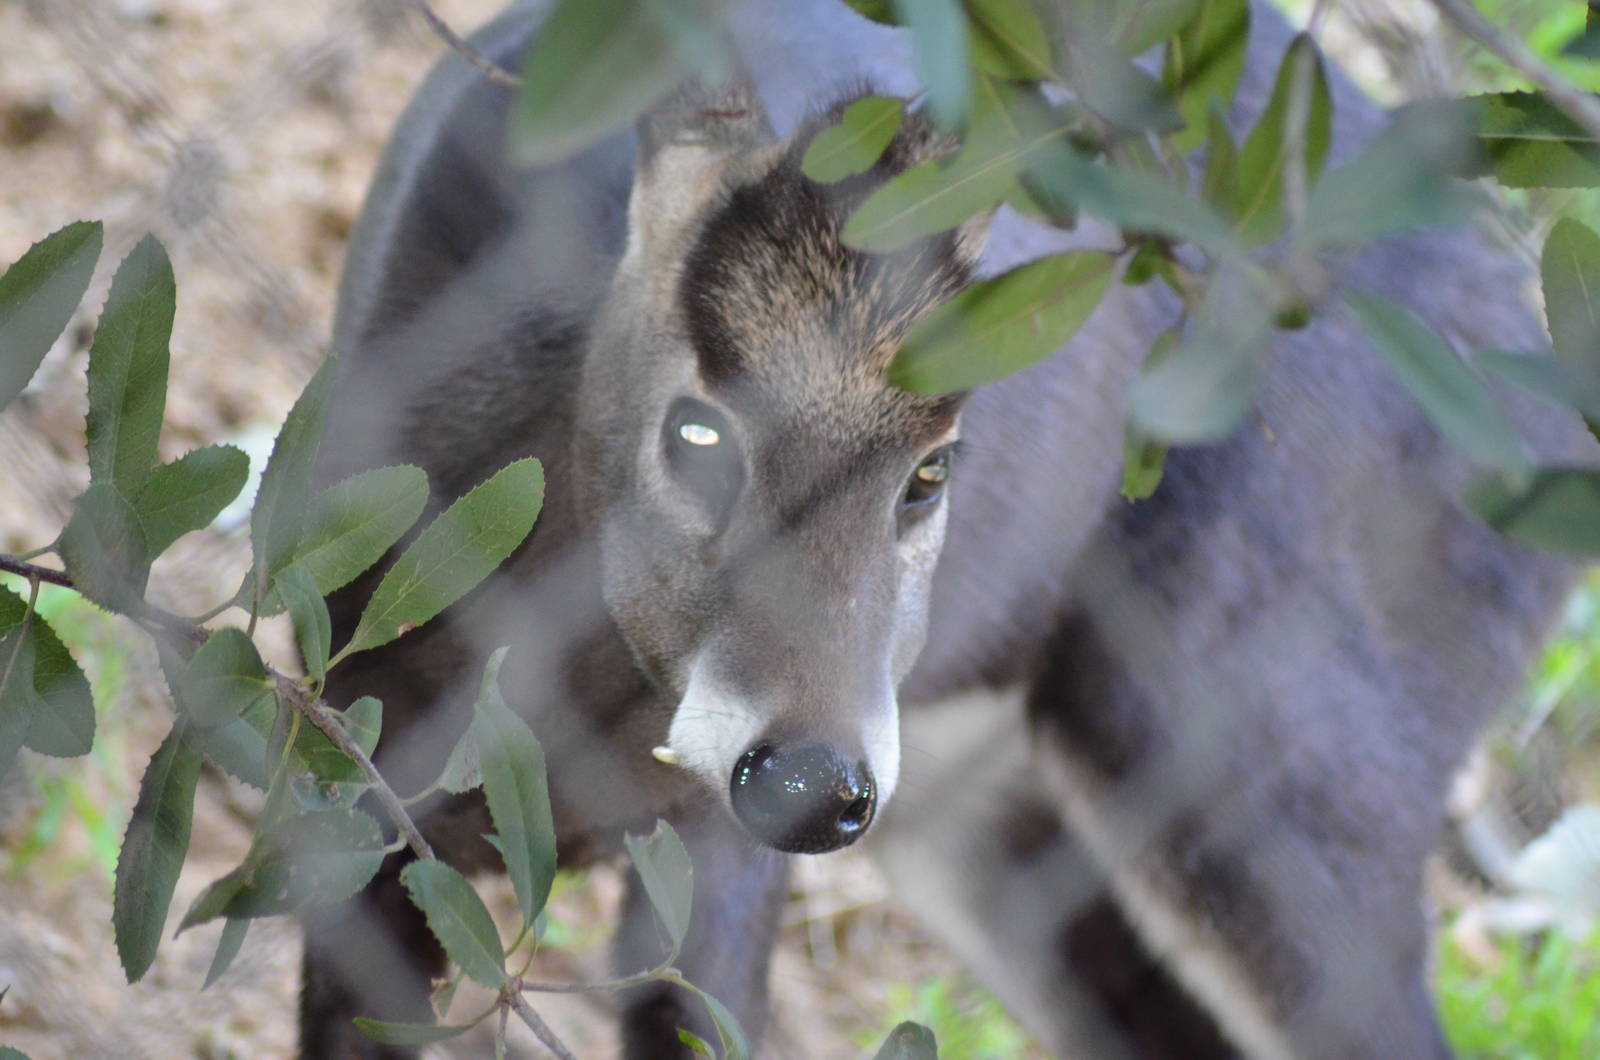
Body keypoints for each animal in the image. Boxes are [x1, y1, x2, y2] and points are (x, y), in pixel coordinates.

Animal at [302, 2, 1590, 1057]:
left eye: (930, 468)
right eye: (696, 429)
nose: (813, 783)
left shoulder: (710, 858)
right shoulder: (355, 765)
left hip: (1284, 752)